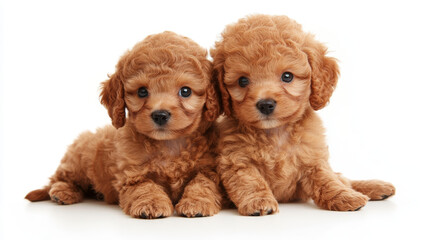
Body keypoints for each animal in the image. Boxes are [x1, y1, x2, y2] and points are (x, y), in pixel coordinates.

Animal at [25, 31, 222, 219]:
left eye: (185, 91)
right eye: (142, 92)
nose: (160, 115)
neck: (169, 144)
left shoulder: (208, 170)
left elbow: (201, 183)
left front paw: (196, 203)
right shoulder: (132, 175)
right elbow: (146, 186)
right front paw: (151, 204)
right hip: (78, 160)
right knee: (60, 178)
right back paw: (62, 192)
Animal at [211, 14, 394, 215]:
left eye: (287, 76)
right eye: (242, 81)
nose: (265, 104)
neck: (275, 133)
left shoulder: (313, 157)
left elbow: (327, 179)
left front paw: (344, 197)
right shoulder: (236, 160)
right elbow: (250, 181)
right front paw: (259, 202)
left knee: (342, 178)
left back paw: (376, 187)